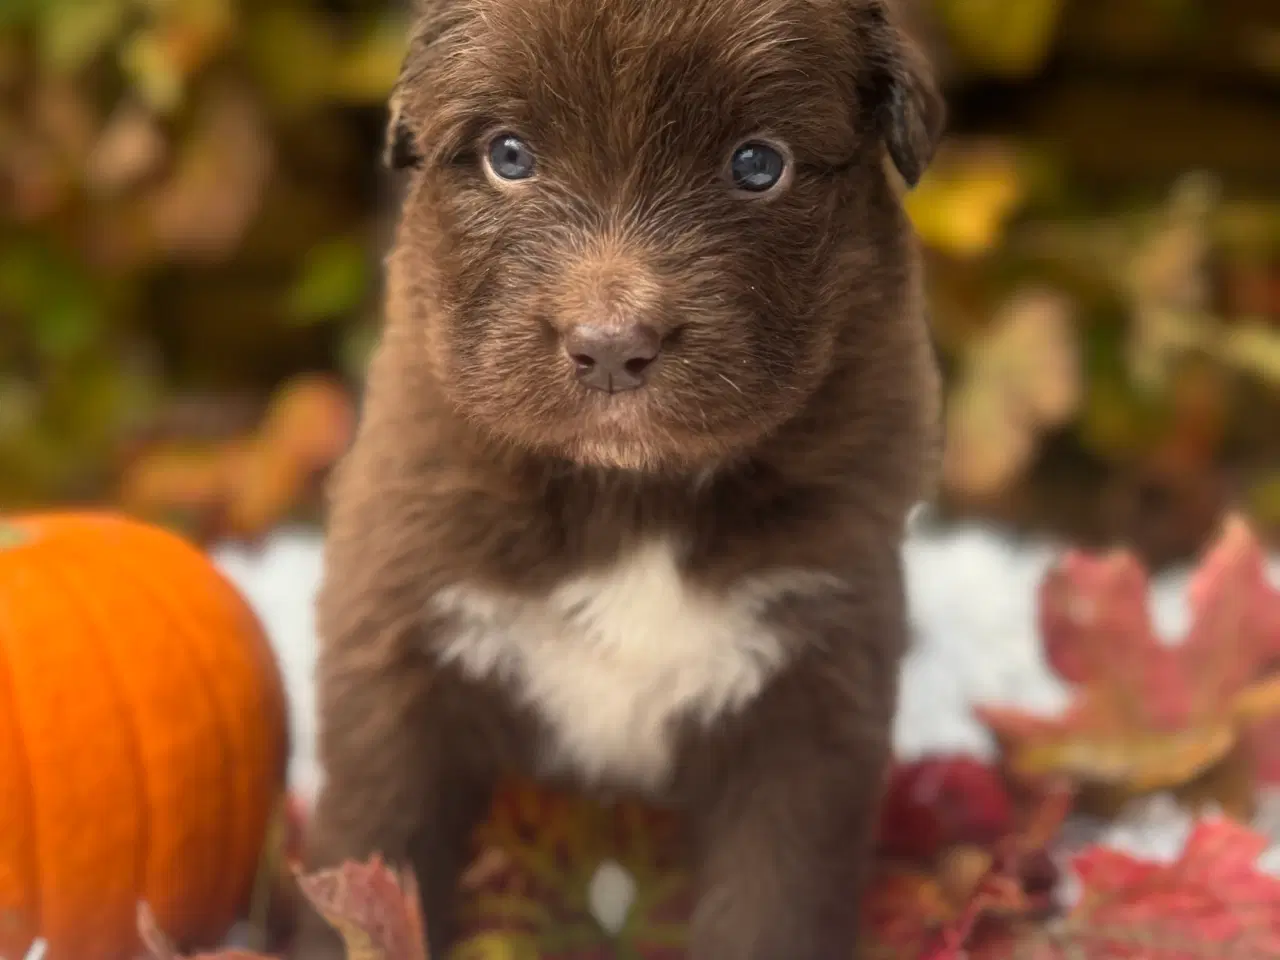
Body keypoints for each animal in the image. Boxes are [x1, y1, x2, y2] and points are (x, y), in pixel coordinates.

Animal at [294, 0, 947, 957]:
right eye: (509, 155)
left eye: (758, 165)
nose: (609, 347)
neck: (631, 492)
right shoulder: (400, 642)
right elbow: (376, 844)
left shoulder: (814, 676)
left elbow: (773, 894)